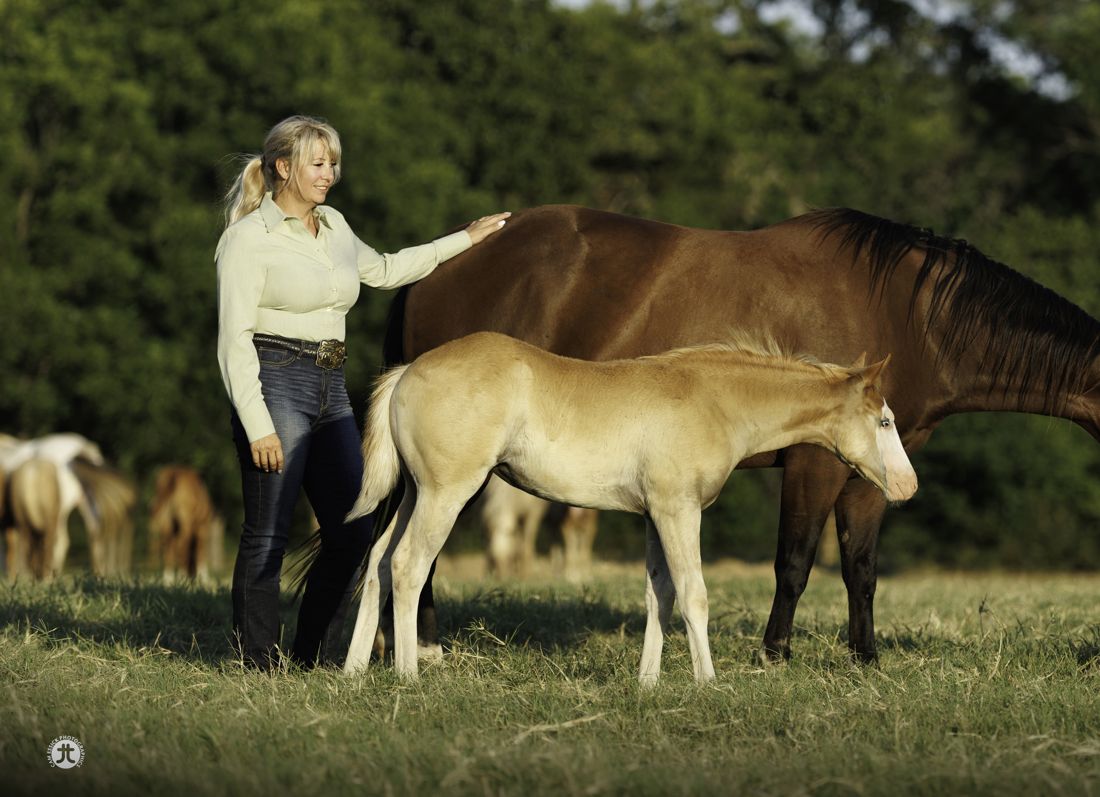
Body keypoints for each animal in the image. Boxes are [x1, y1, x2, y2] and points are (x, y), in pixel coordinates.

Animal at [342, 332, 917, 682]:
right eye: (885, 421)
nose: (907, 486)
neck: (714, 400)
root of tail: (407, 371)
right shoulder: (678, 510)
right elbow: (693, 594)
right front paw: (707, 682)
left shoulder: (653, 516)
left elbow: (658, 595)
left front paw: (648, 683)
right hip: (447, 492)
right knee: (408, 565)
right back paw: (409, 675)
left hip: (414, 492)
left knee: (378, 564)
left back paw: (353, 673)